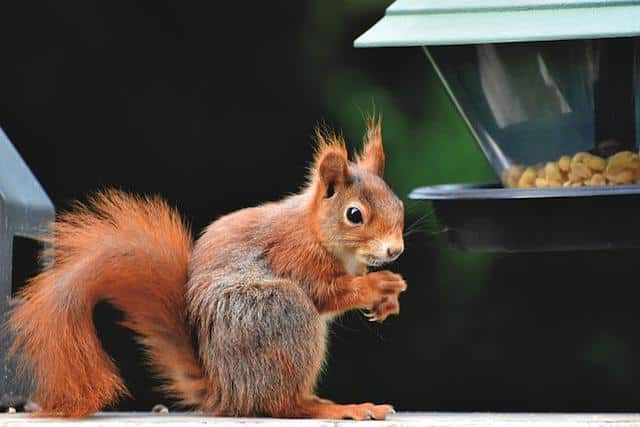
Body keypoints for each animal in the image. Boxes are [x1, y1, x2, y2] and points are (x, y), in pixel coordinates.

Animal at [7, 119, 407, 420]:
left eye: (399, 204)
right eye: (354, 214)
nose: (395, 250)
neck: (317, 231)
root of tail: (227, 392)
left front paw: (387, 303)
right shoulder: (294, 257)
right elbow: (326, 293)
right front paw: (379, 285)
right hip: (280, 311)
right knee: (283, 405)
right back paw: (335, 408)